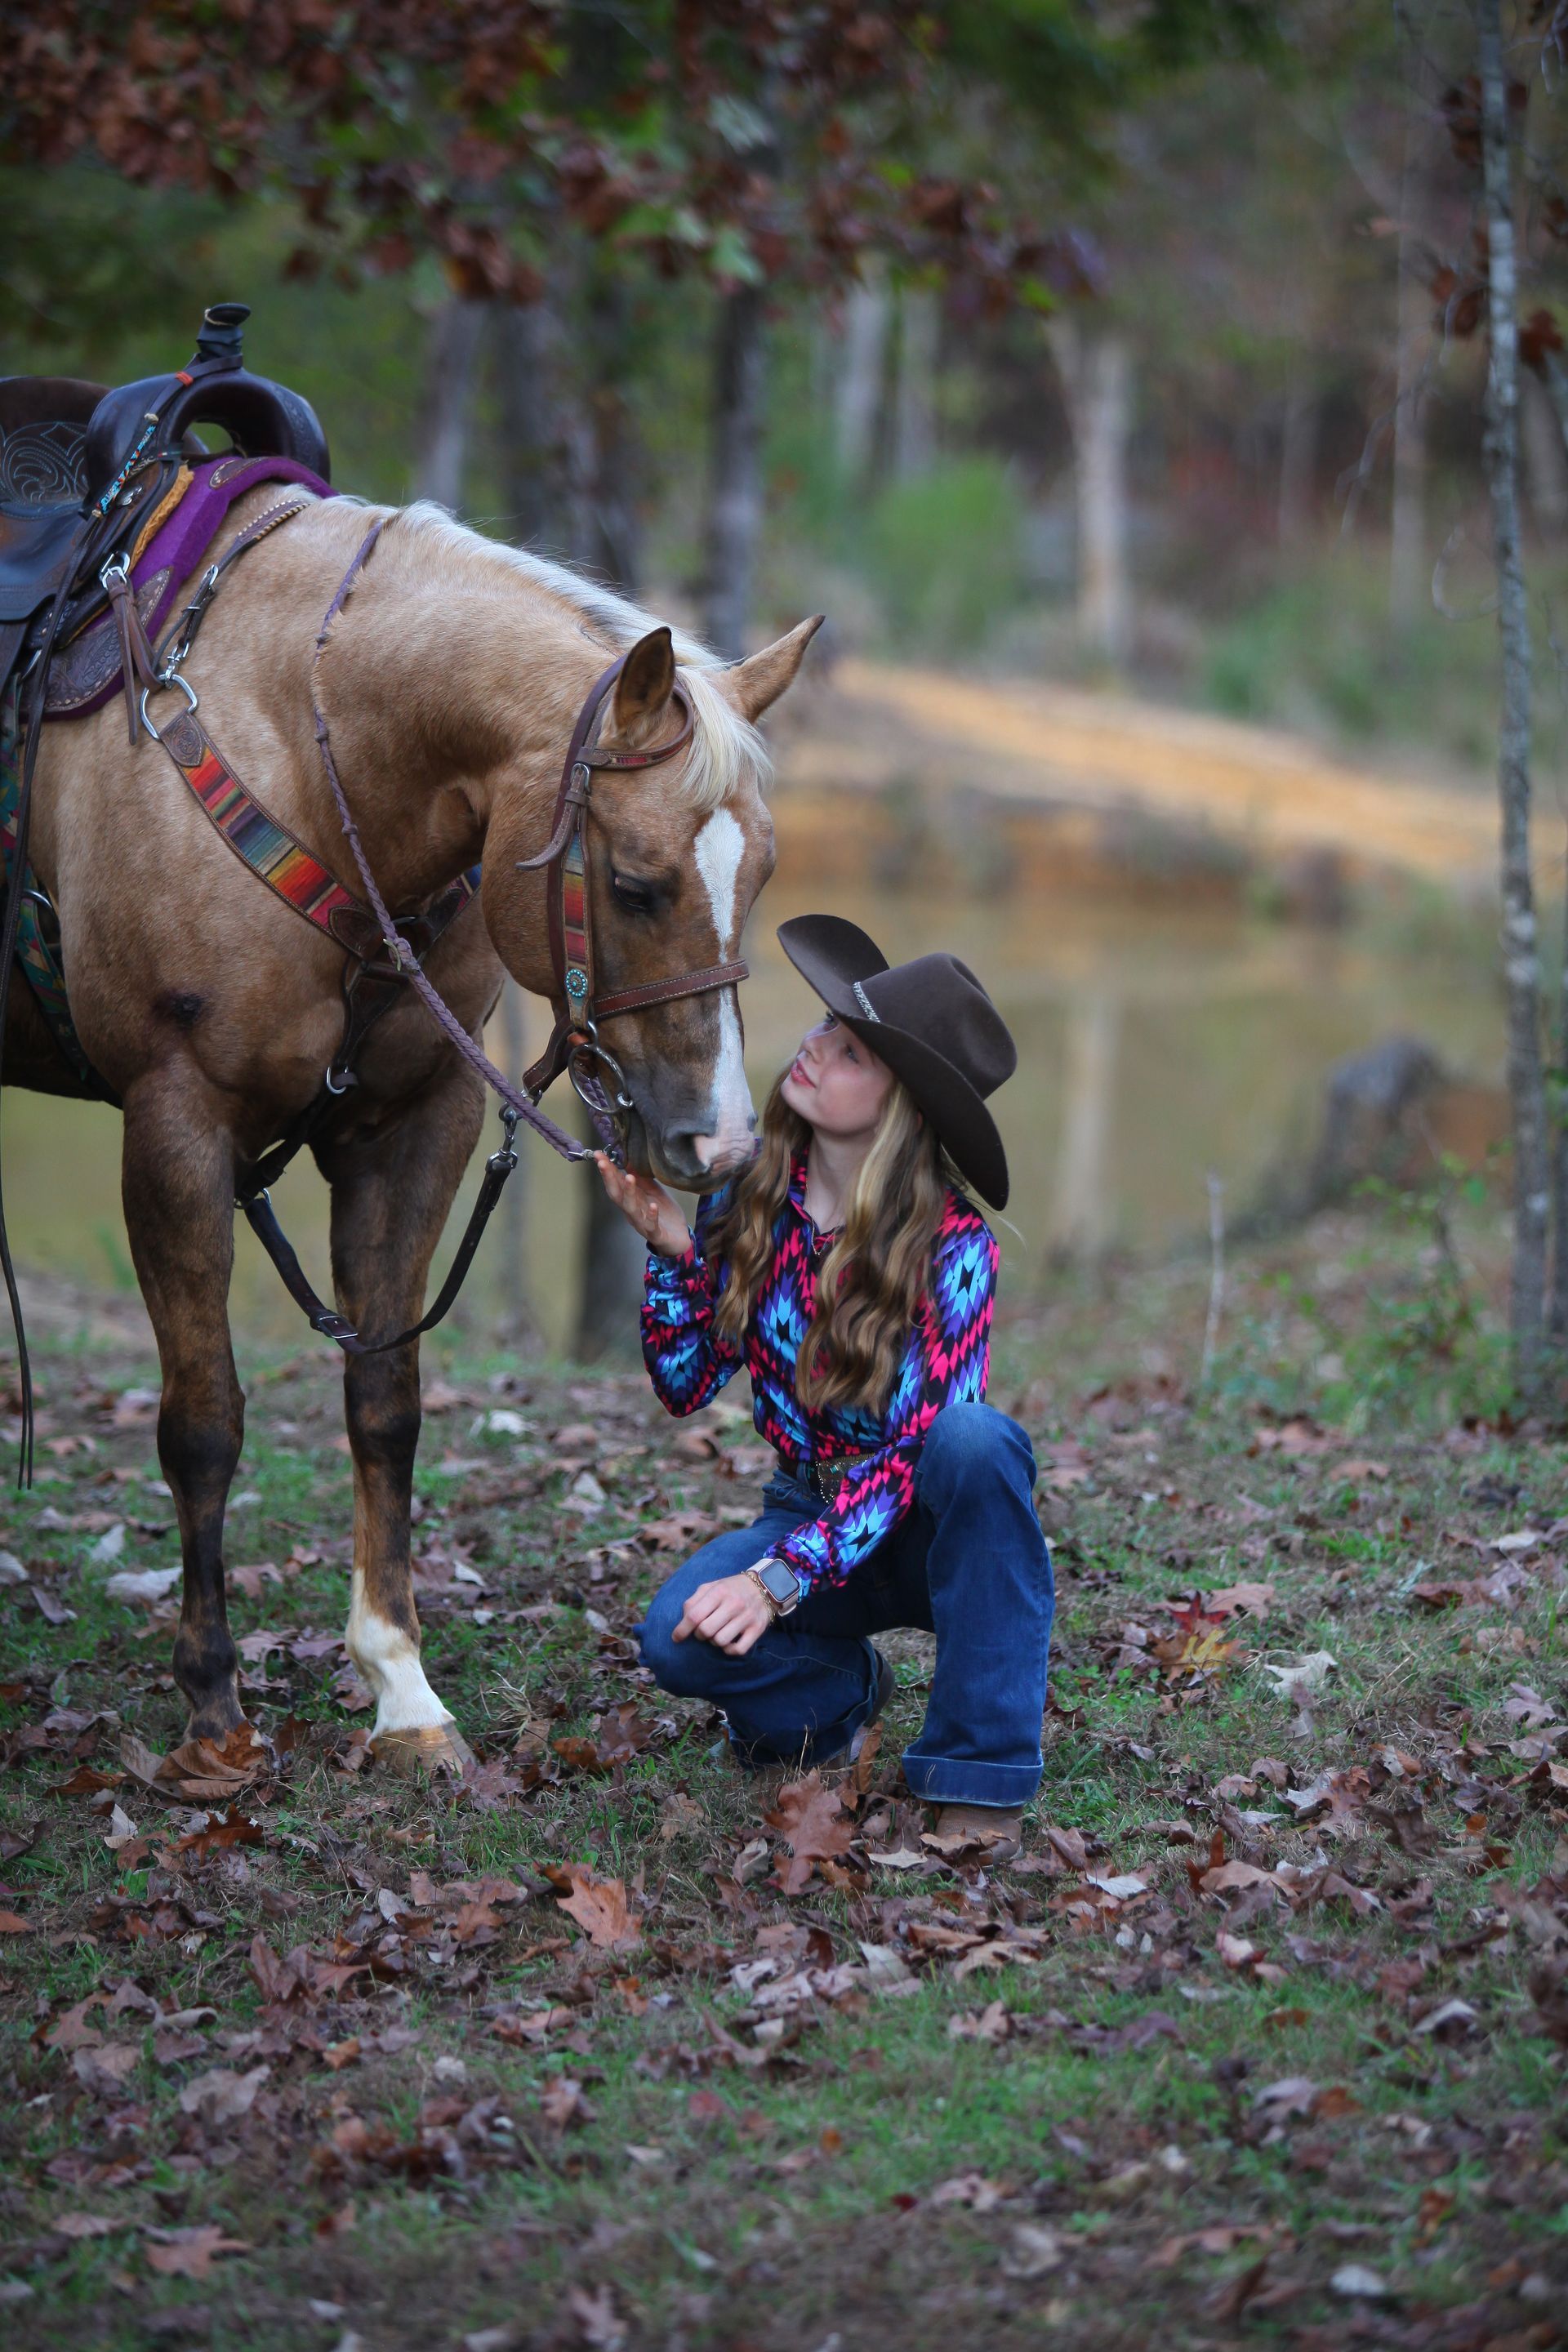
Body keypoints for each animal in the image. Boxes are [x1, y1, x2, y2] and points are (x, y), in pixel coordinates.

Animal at [17, 487, 818, 1775]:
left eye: (763, 877)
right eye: (637, 884)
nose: (721, 1144)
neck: (304, 758)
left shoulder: (417, 1121)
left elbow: (385, 1402)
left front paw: (400, 1684)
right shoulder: (174, 1120)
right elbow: (203, 1424)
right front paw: (212, 1708)